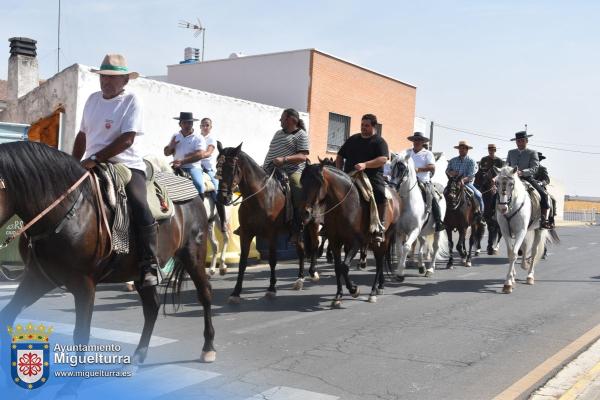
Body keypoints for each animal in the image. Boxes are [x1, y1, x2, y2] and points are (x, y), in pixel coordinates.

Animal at [0, 140, 216, 366]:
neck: (66, 212)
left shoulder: (84, 285)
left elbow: (81, 336)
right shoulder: (39, 278)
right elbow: (7, 316)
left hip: (193, 255)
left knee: (205, 293)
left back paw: (208, 347)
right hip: (139, 273)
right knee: (152, 307)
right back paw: (139, 355)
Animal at [214, 142, 318, 302]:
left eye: (232, 168)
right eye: (217, 167)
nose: (222, 198)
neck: (261, 196)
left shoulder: (272, 234)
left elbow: (272, 260)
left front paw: (271, 288)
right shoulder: (246, 233)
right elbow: (242, 262)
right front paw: (236, 292)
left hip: (312, 225)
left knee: (314, 246)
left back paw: (312, 272)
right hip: (296, 231)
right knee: (301, 250)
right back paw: (299, 279)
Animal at [302, 162, 400, 306]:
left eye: (318, 183)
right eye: (302, 182)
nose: (306, 213)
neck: (343, 206)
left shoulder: (356, 242)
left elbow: (344, 266)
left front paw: (354, 289)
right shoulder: (335, 241)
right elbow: (338, 267)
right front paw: (338, 295)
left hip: (384, 238)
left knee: (379, 262)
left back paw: (373, 292)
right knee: (380, 262)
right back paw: (380, 286)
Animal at [386, 152, 448, 280]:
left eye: (402, 168)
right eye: (391, 167)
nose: (392, 187)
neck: (407, 203)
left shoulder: (414, 230)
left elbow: (406, 247)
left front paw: (400, 273)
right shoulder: (399, 231)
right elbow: (399, 250)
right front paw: (400, 270)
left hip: (436, 231)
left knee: (435, 247)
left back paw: (430, 269)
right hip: (421, 231)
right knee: (423, 242)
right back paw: (421, 266)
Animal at [492, 166, 556, 294]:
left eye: (511, 184)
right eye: (497, 183)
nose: (502, 207)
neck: (512, 207)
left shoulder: (520, 231)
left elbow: (514, 254)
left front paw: (508, 284)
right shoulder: (506, 231)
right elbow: (511, 253)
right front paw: (511, 279)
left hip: (539, 230)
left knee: (534, 251)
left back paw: (530, 276)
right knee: (525, 247)